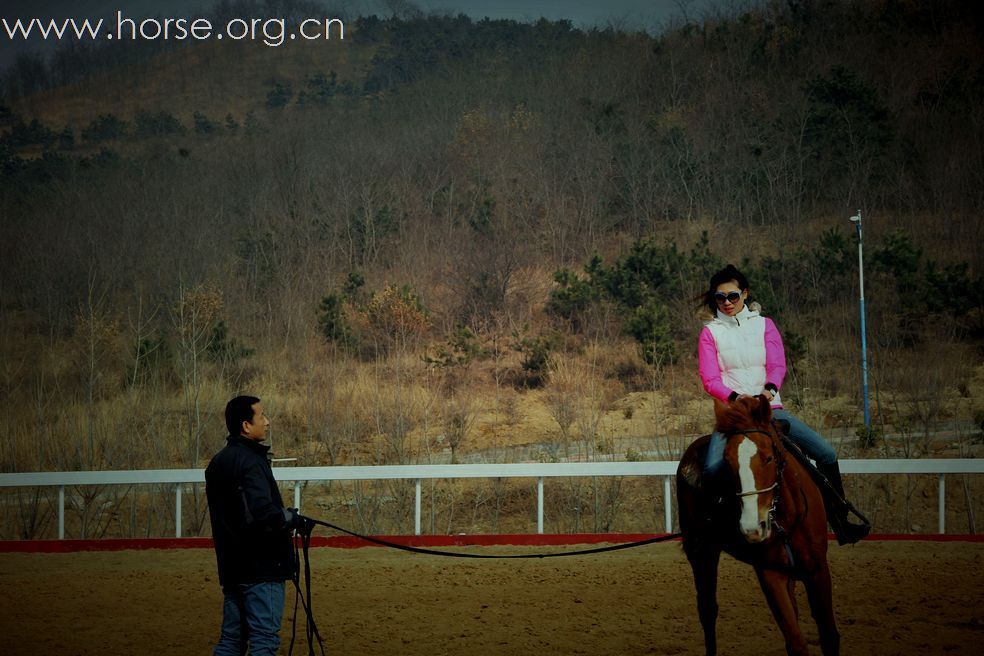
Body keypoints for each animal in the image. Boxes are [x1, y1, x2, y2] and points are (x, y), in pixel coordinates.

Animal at [680, 394, 840, 656]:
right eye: (728, 462)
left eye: (768, 457)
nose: (752, 527)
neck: (786, 516)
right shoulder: (769, 572)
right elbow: (796, 641)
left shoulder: (817, 569)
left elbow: (828, 636)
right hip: (702, 553)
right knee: (708, 610)